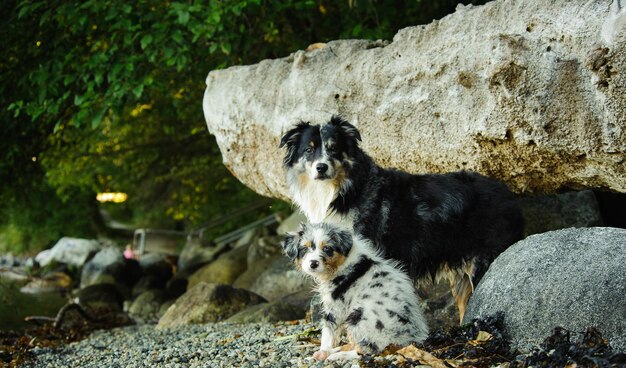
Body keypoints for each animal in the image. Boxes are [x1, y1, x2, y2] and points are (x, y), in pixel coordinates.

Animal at [278, 115, 520, 322]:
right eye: (309, 150)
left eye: (334, 148)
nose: (321, 167)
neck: (345, 191)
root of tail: (509, 193)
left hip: (484, 260)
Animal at [280, 223, 426, 360]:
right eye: (304, 248)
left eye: (327, 249)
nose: (313, 263)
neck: (342, 262)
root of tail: (408, 339)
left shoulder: (336, 307)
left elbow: (328, 331)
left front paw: (323, 351)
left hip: (360, 316)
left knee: (367, 350)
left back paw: (334, 355)